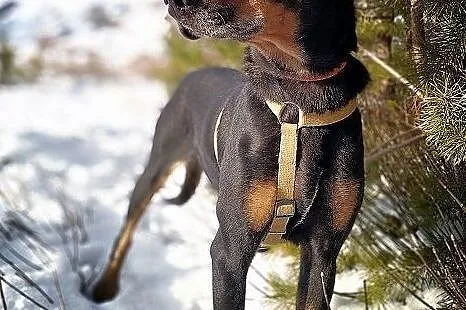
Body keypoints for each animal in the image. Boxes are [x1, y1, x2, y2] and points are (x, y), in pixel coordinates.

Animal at [83, 0, 368, 308]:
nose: (170, 4)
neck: (299, 103)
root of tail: (191, 75)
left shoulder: (323, 251)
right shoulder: (230, 251)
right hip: (156, 166)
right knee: (126, 232)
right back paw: (105, 287)